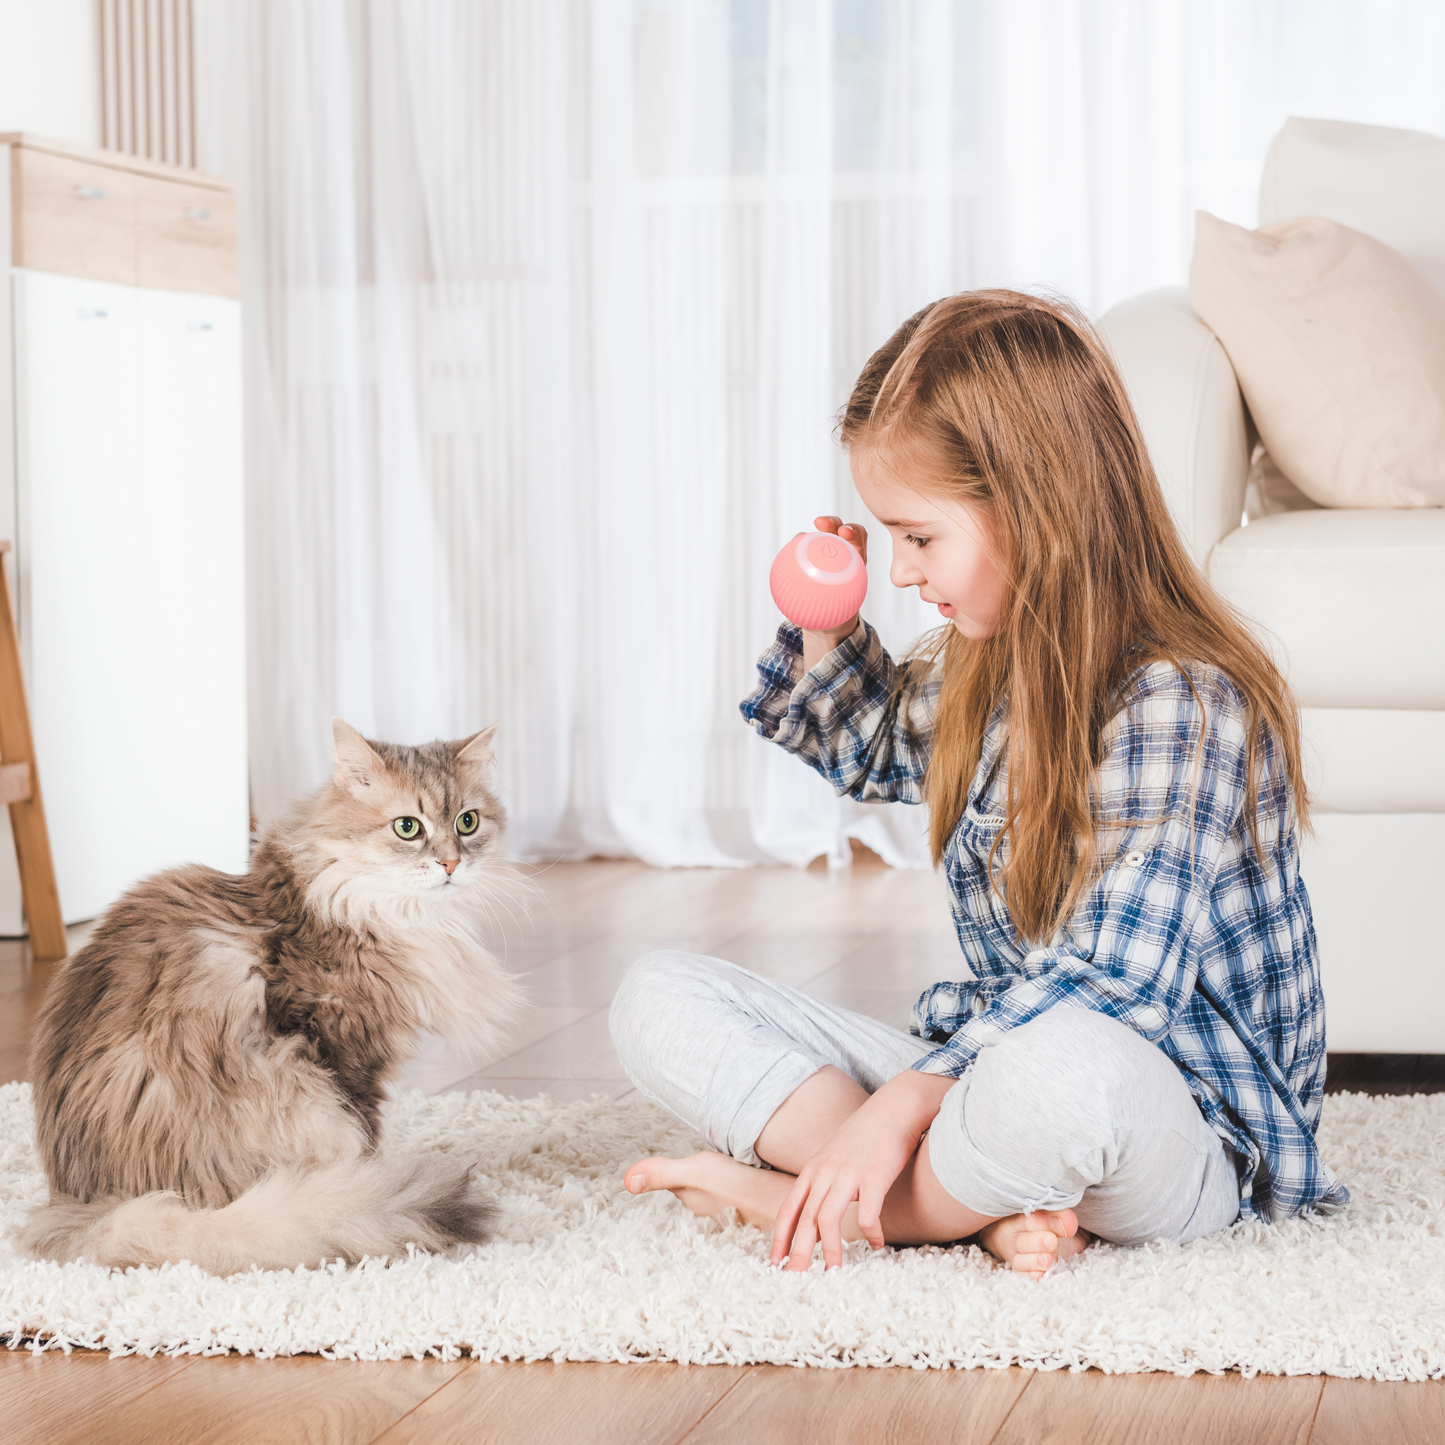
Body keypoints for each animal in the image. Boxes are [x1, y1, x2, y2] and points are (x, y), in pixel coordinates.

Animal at [21, 722, 525, 1277]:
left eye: (467, 822)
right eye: (408, 828)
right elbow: (367, 1137)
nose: (452, 862)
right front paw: (369, 1184)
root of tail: (87, 1214)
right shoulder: (341, 1050)